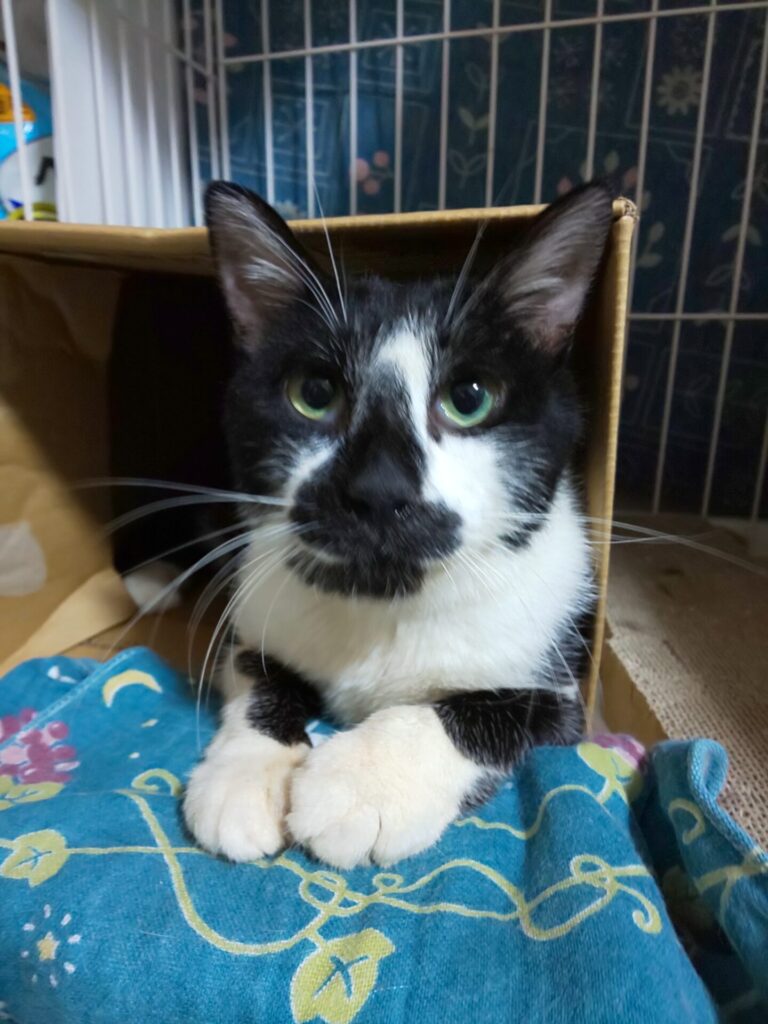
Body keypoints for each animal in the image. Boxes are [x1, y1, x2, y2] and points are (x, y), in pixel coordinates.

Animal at [182, 179, 614, 869]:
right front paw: (246, 774)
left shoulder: (565, 685)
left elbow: (487, 710)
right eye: (313, 393)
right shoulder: (255, 602)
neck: (386, 594)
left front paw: (363, 783)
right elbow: (257, 670)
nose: (378, 490)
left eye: (469, 398)